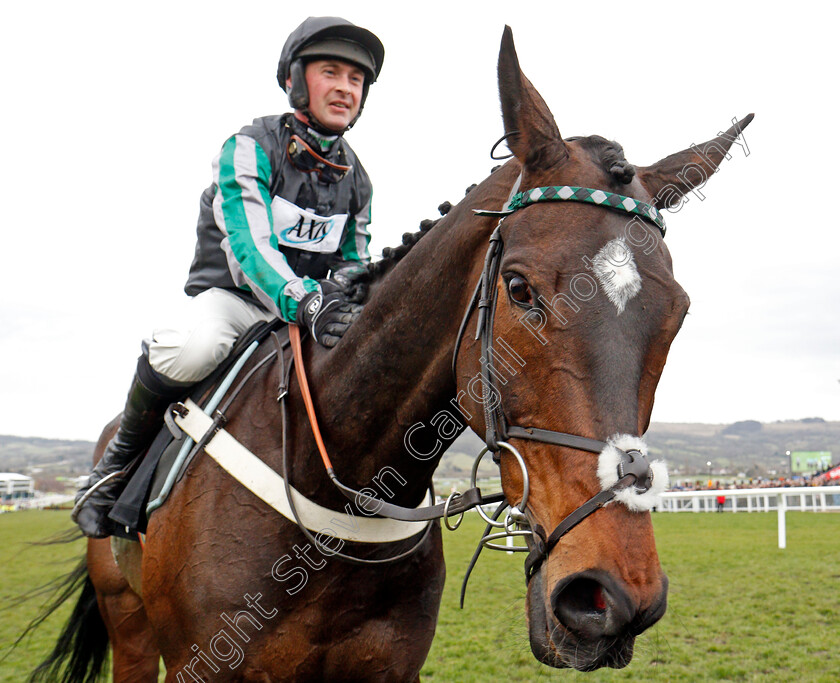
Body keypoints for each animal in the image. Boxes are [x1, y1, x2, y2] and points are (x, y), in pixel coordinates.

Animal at [36, 25, 752, 680]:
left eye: (677, 314)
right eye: (519, 289)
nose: (611, 598)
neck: (333, 498)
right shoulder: (204, 662)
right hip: (129, 623)